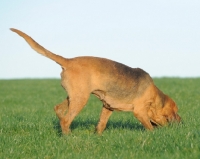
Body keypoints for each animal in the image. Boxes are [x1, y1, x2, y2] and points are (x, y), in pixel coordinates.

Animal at [10, 28, 180, 134]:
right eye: (176, 112)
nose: (181, 123)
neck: (155, 98)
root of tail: (68, 61)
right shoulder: (139, 111)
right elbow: (149, 127)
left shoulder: (108, 107)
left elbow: (101, 124)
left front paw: (97, 136)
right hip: (81, 99)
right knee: (66, 120)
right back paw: (69, 137)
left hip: (74, 96)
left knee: (59, 111)